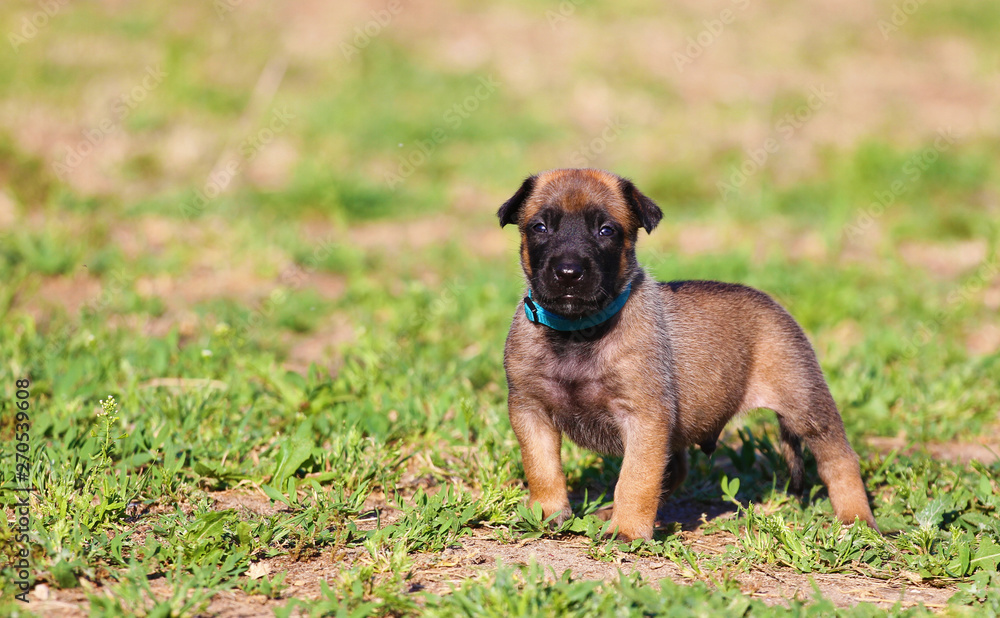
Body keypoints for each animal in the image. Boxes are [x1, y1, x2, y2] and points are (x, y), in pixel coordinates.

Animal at [498, 167, 876, 540]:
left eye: (606, 231)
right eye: (539, 227)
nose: (568, 273)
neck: (578, 333)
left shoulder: (644, 419)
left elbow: (636, 479)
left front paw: (627, 530)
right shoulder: (531, 410)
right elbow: (542, 468)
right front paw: (547, 513)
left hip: (805, 406)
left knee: (840, 460)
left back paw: (856, 519)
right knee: (673, 472)